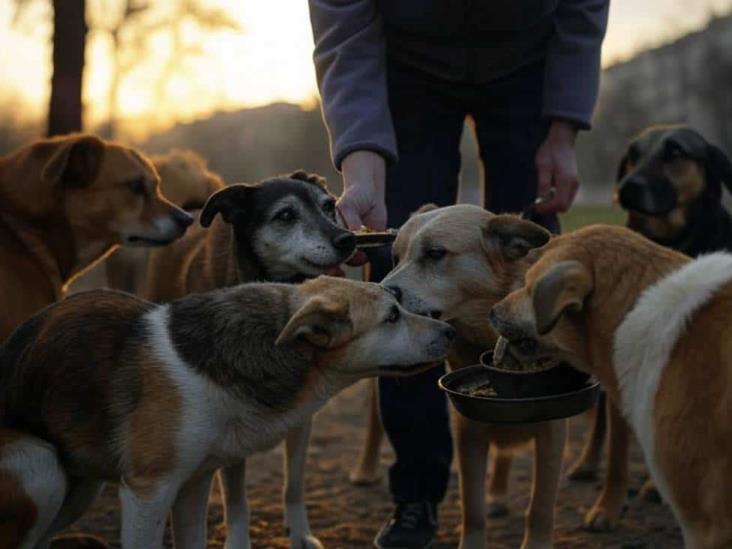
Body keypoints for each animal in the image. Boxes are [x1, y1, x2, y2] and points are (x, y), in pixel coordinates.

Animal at [0, 276, 454, 548]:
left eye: (398, 304)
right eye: (392, 317)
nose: (451, 331)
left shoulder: (193, 484)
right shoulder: (148, 491)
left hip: (80, 487)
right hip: (42, 470)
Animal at [380, 206, 564, 548]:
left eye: (435, 253)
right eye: (396, 257)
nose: (383, 292)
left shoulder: (553, 431)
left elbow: (540, 509)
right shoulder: (468, 430)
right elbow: (472, 507)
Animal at [568, 126, 732, 528]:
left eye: (675, 151)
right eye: (632, 155)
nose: (626, 187)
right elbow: (616, 450)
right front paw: (607, 507)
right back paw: (586, 464)